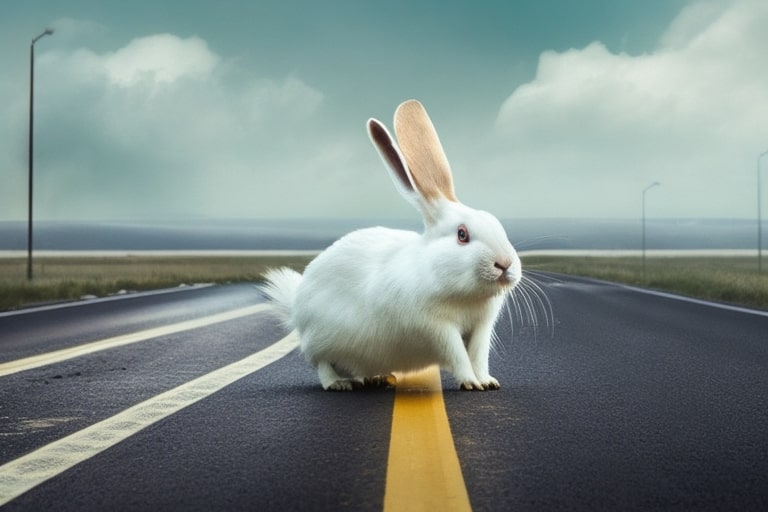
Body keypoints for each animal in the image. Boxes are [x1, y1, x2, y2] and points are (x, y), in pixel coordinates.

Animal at [262, 99, 521, 391]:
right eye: (462, 234)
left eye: (496, 222)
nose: (505, 264)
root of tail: (295, 304)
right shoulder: (437, 327)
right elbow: (458, 356)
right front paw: (471, 383)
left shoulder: (481, 327)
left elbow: (478, 356)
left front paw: (487, 382)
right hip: (320, 341)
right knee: (323, 366)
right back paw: (339, 384)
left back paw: (378, 378)